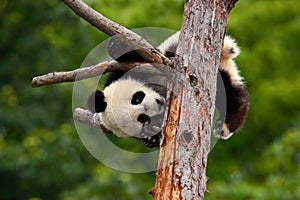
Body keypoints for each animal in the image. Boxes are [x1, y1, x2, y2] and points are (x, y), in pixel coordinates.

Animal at [86, 31, 248, 147]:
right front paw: (152, 136)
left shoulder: (127, 70)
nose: (159, 103)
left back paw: (225, 124)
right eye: (142, 118)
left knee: (228, 92)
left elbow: (138, 55)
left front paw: (116, 45)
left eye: (137, 98)